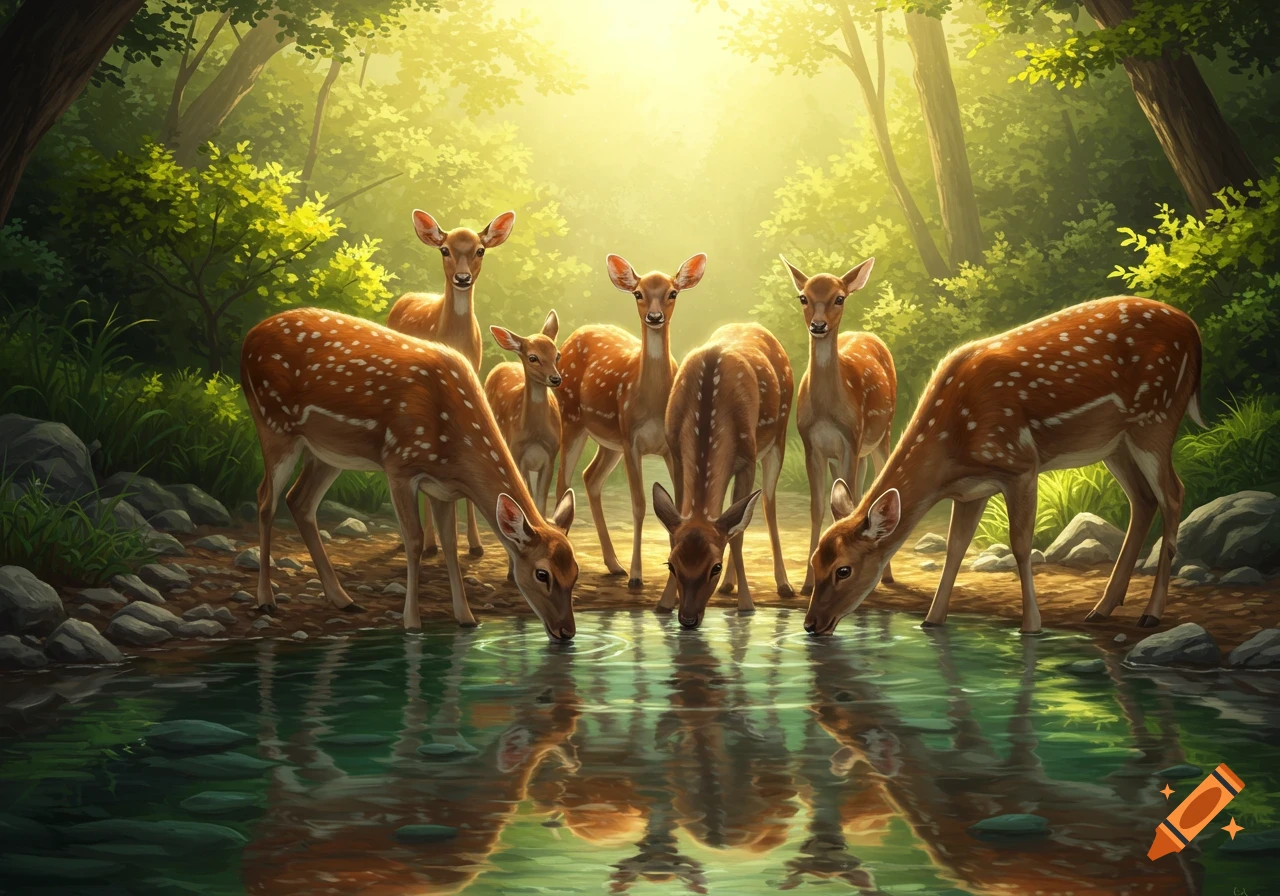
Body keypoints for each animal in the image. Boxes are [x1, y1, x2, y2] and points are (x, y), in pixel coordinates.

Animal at [239, 307, 579, 640]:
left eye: (574, 572)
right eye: (542, 573)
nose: (566, 631)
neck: (455, 446)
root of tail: (248, 338)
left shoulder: (442, 487)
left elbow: (450, 544)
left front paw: (467, 619)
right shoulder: (399, 464)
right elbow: (413, 540)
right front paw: (412, 622)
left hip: (328, 450)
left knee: (300, 500)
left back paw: (344, 600)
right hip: (274, 423)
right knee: (266, 499)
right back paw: (266, 599)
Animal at [555, 252, 707, 590]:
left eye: (672, 293)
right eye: (638, 293)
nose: (654, 316)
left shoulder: (670, 447)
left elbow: (678, 506)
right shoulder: (632, 440)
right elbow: (639, 504)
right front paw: (637, 576)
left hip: (608, 441)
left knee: (590, 477)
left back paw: (614, 564)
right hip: (573, 420)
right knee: (562, 484)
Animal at [651, 322, 795, 628]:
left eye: (714, 567)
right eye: (671, 564)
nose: (688, 619)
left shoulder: (748, 459)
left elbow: (738, 536)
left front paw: (747, 606)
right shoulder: (676, 455)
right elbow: (678, 523)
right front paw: (664, 603)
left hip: (778, 438)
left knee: (767, 503)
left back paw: (784, 584)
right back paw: (730, 585)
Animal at [781, 255, 897, 596]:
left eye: (839, 298)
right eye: (803, 297)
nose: (818, 325)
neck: (826, 411)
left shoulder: (850, 440)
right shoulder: (811, 445)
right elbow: (818, 507)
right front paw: (806, 584)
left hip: (881, 434)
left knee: (874, 480)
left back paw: (888, 577)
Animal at [803, 296, 1203, 637]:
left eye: (843, 569)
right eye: (814, 562)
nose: (811, 624)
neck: (950, 449)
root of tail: (1193, 330)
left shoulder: (1020, 464)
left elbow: (1020, 544)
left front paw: (1031, 625)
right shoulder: (971, 490)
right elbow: (955, 548)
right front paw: (932, 620)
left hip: (1157, 416)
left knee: (1174, 493)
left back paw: (1150, 613)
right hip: (1115, 442)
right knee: (1143, 499)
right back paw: (1102, 608)